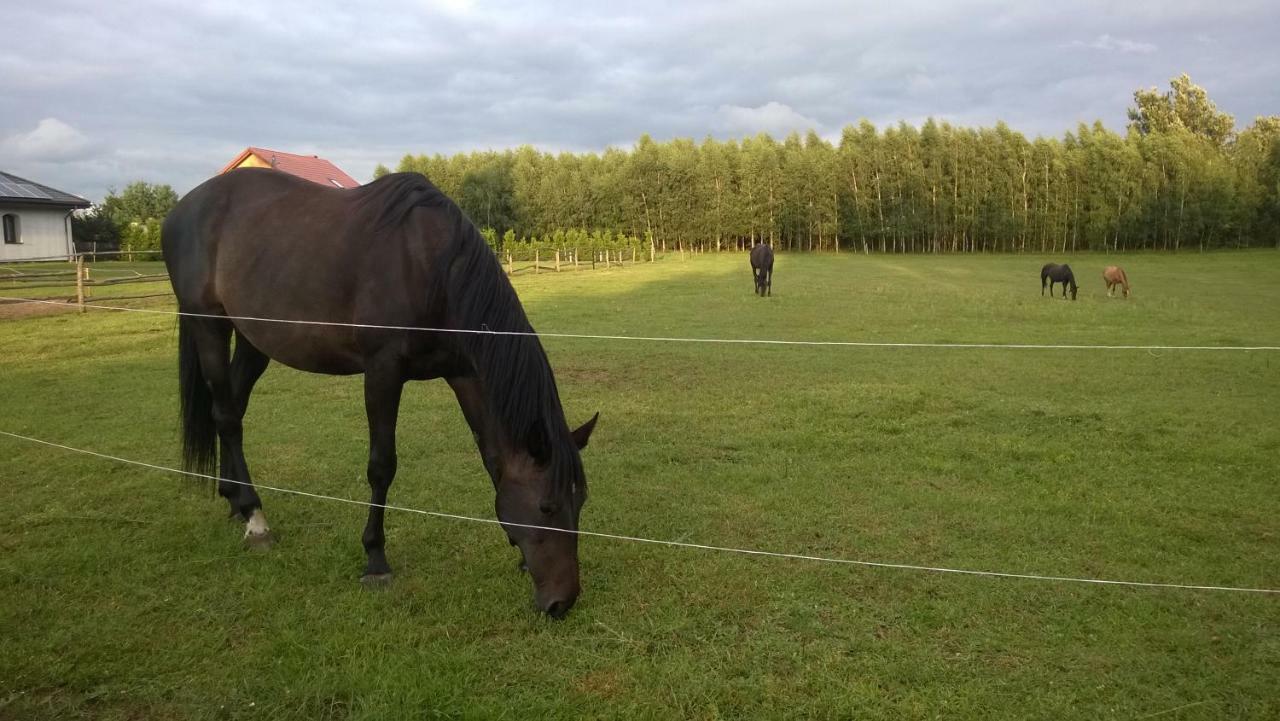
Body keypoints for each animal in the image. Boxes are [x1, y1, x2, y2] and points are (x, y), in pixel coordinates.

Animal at [162, 166, 596, 617]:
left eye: (580, 502)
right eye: (547, 506)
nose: (562, 601)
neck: (433, 269)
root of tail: (184, 208)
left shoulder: (462, 373)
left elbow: (490, 458)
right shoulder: (382, 371)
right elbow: (381, 466)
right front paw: (375, 558)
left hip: (253, 340)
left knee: (232, 406)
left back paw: (233, 499)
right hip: (208, 325)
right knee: (227, 417)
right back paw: (254, 518)